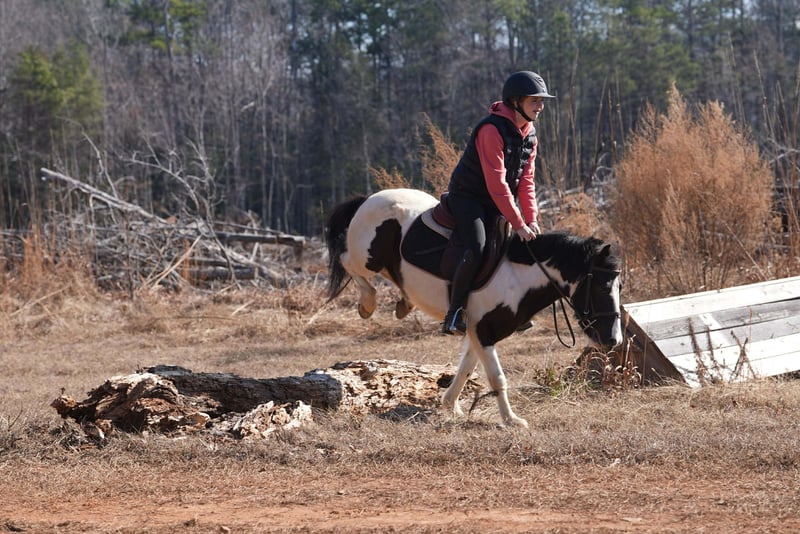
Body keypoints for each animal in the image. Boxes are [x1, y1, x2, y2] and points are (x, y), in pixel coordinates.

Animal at [325, 188, 623, 427]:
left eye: (619, 287)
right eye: (600, 287)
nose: (614, 340)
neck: (516, 275)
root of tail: (368, 198)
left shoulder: (475, 331)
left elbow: (466, 368)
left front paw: (450, 405)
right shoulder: (483, 331)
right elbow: (496, 377)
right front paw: (511, 420)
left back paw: (404, 302)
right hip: (367, 258)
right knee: (347, 261)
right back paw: (367, 303)